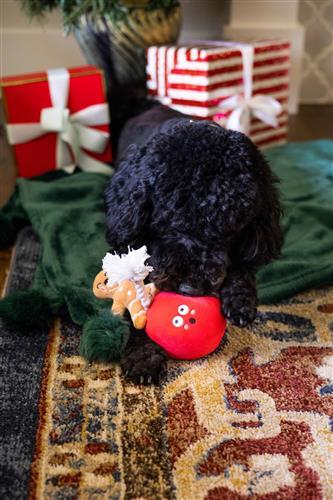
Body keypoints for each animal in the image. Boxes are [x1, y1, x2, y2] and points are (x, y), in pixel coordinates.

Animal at [105, 102, 282, 382]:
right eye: (167, 218)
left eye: (229, 230)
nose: (189, 289)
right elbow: (134, 300)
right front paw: (143, 355)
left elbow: (243, 265)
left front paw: (239, 297)